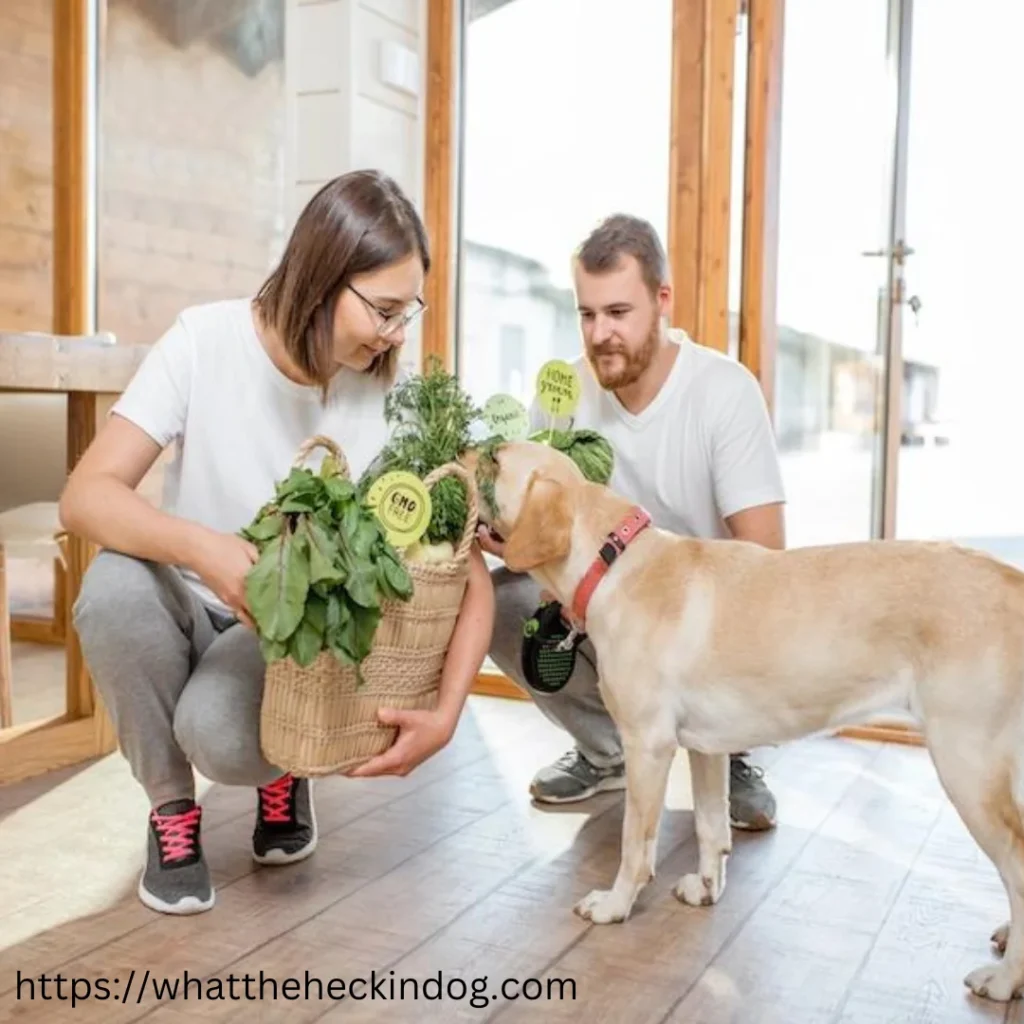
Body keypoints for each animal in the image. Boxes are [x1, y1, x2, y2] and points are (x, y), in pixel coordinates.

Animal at [466, 440, 1024, 999]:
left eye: (494, 458)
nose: (465, 449)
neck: (612, 563)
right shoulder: (706, 748)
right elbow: (711, 828)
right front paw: (706, 889)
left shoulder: (648, 746)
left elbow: (634, 844)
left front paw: (614, 904)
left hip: (965, 765)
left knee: (1017, 869)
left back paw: (1004, 980)